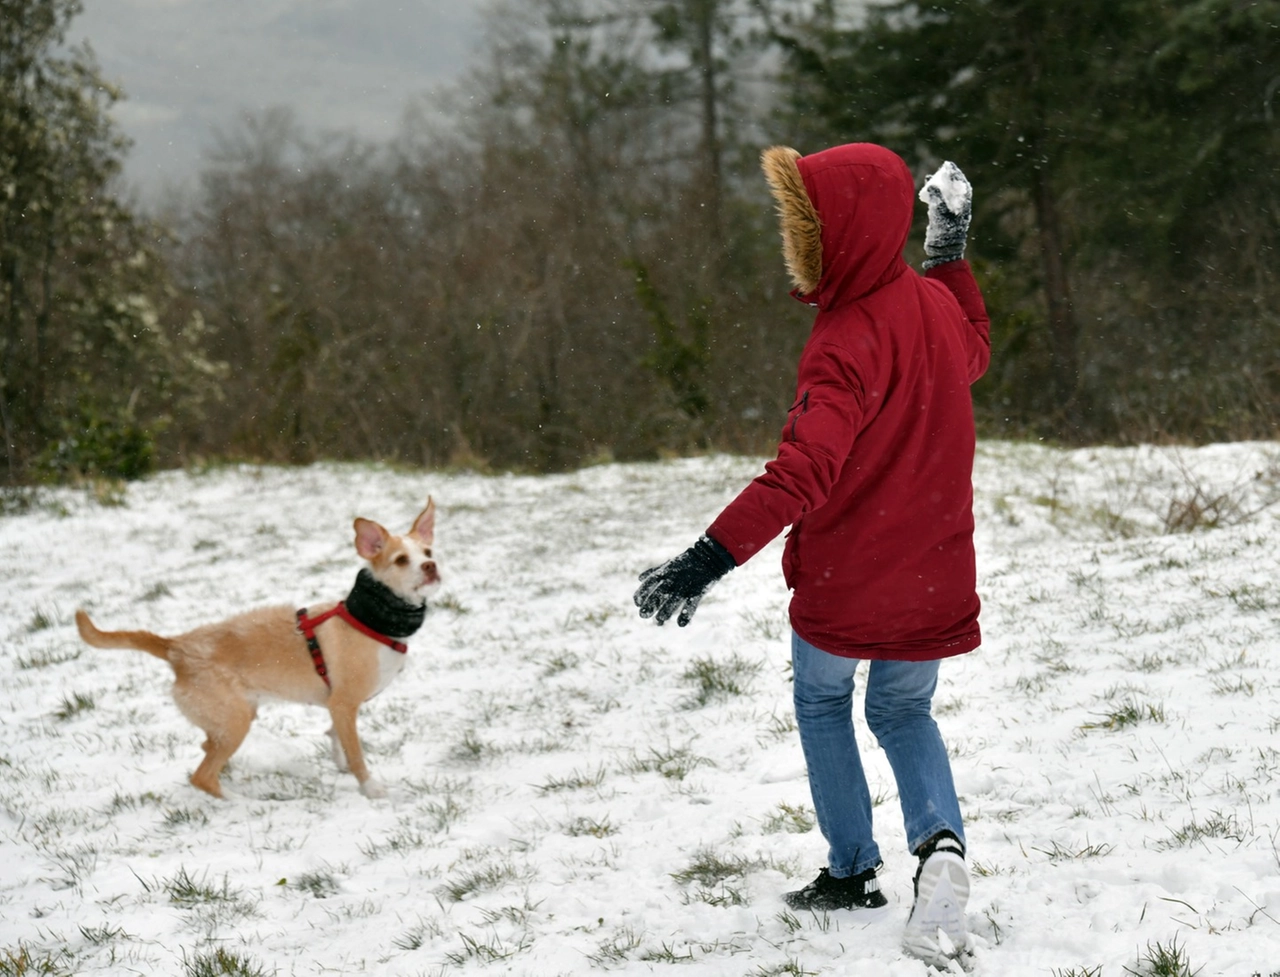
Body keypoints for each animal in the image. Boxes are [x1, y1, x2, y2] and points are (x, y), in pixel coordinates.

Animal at [80, 499, 442, 799]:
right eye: (401, 560)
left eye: (428, 553)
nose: (431, 568)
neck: (369, 618)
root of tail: (176, 648)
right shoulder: (343, 702)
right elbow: (356, 754)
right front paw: (372, 790)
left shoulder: (340, 708)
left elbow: (337, 738)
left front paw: (339, 763)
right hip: (235, 721)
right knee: (202, 776)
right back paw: (239, 803)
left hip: (227, 720)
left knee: (206, 750)